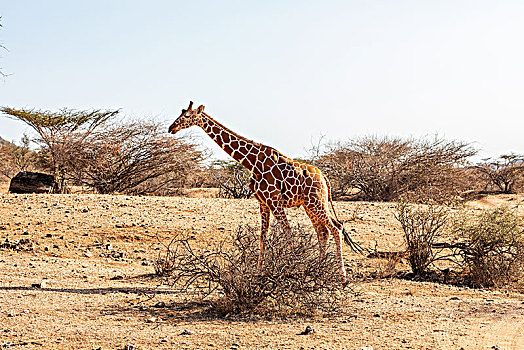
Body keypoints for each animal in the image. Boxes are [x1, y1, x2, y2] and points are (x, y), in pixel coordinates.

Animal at [169, 101, 364, 284]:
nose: (171, 128)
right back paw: (318, 270)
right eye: (181, 112)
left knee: (335, 227)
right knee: (323, 231)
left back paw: (342, 277)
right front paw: (258, 273)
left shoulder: (274, 201)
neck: (252, 162)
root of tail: (324, 177)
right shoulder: (263, 202)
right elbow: (263, 236)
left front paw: (293, 268)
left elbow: (288, 233)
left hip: (316, 201)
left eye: (187, 116)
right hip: (310, 204)